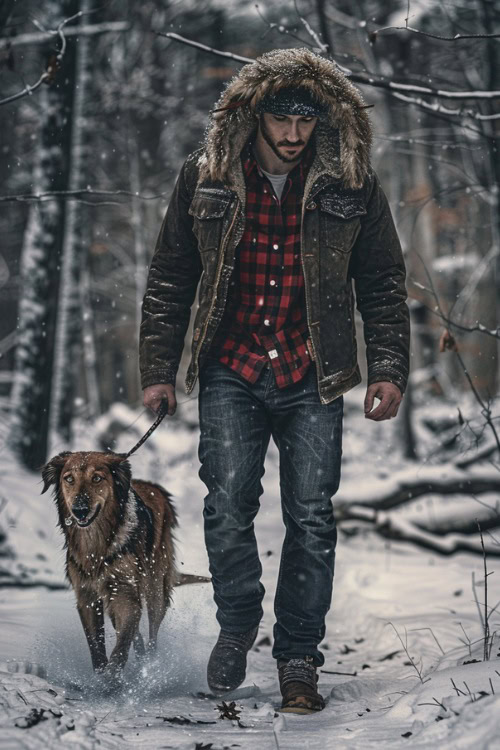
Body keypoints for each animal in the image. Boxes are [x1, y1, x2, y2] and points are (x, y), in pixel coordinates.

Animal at [41, 452, 178, 680]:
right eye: (69, 479)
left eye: (97, 478)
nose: (79, 511)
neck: (97, 547)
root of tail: (154, 487)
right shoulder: (87, 596)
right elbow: (96, 645)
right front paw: (101, 676)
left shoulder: (124, 592)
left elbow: (121, 647)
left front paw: (113, 679)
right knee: (136, 633)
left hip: (155, 587)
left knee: (152, 629)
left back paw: (150, 665)